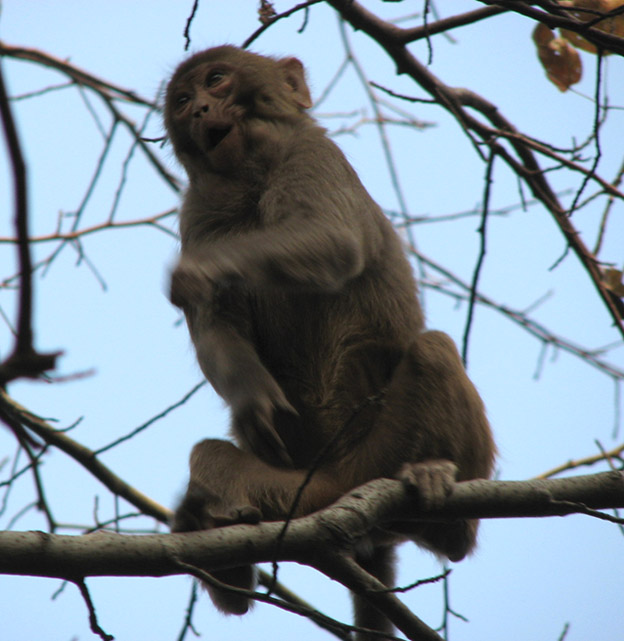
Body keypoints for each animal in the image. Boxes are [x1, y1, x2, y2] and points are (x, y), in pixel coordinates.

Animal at [163, 46, 494, 640]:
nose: (198, 108)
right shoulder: (197, 208)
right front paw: (252, 399)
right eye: (181, 99)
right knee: (210, 455)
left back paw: (444, 511)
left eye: (216, 79)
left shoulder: (314, 154)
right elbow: (217, 323)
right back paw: (214, 544)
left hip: (380, 449)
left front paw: (197, 273)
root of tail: (339, 485)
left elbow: (333, 240)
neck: (249, 177)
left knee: (433, 350)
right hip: (295, 488)